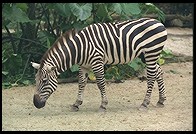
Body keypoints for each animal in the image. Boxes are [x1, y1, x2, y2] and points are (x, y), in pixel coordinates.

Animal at [31, 18, 168, 112]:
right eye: (36, 81)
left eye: (44, 81)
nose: (36, 104)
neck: (79, 49)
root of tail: (159, 22)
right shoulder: (83, 66)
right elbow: (81, 83)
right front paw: (76, 103)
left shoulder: (97, 62)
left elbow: (101, 83)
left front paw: (103, 105)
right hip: (145, 56)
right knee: (158, 72)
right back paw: (161, 100)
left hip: (151, 53)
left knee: (151, 77)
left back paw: (145, 103)